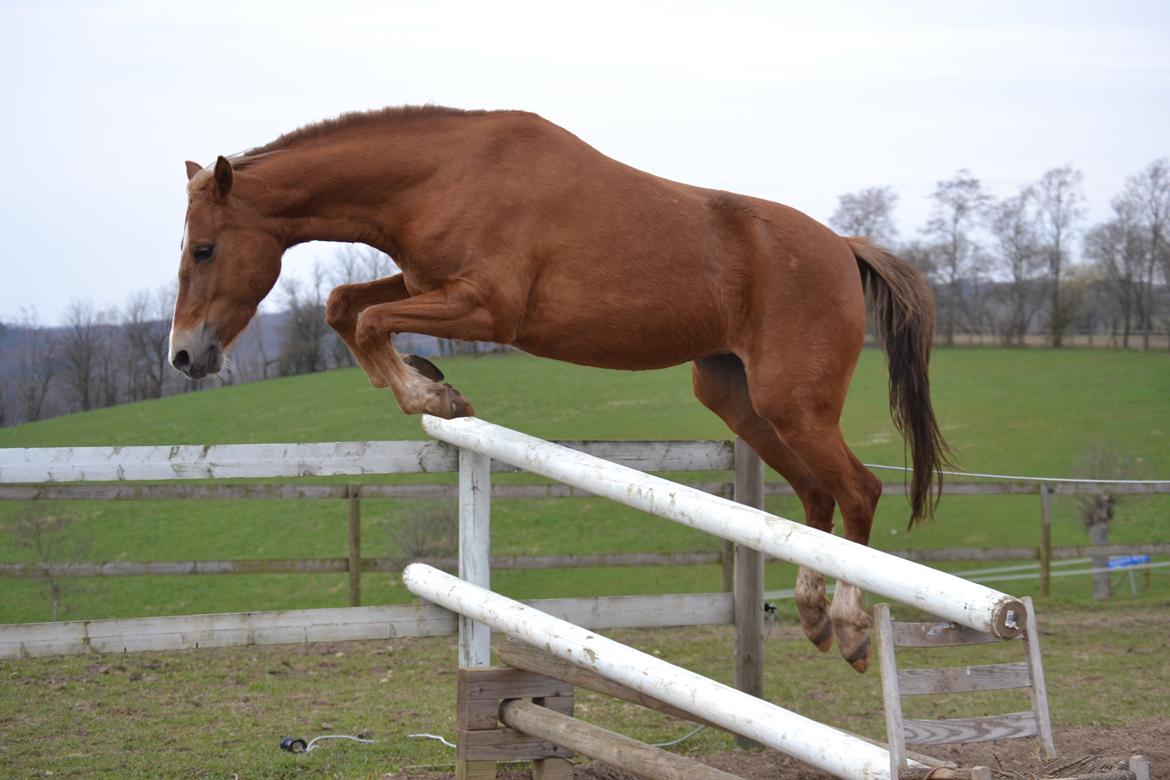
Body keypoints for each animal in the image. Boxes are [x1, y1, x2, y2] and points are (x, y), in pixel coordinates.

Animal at [170, 107, 950, 673]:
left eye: (204, 249)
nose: (185, 356)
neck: (441, 177)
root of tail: (844, 247)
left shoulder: (486, 307)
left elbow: (363, 318)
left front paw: (432, 394)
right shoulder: (429, 285)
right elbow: (344, 305)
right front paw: (430, 380)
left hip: (794, 402)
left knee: (857, 492)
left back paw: (850, 628)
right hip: (741, 400)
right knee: (817, 497)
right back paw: (815, 617)